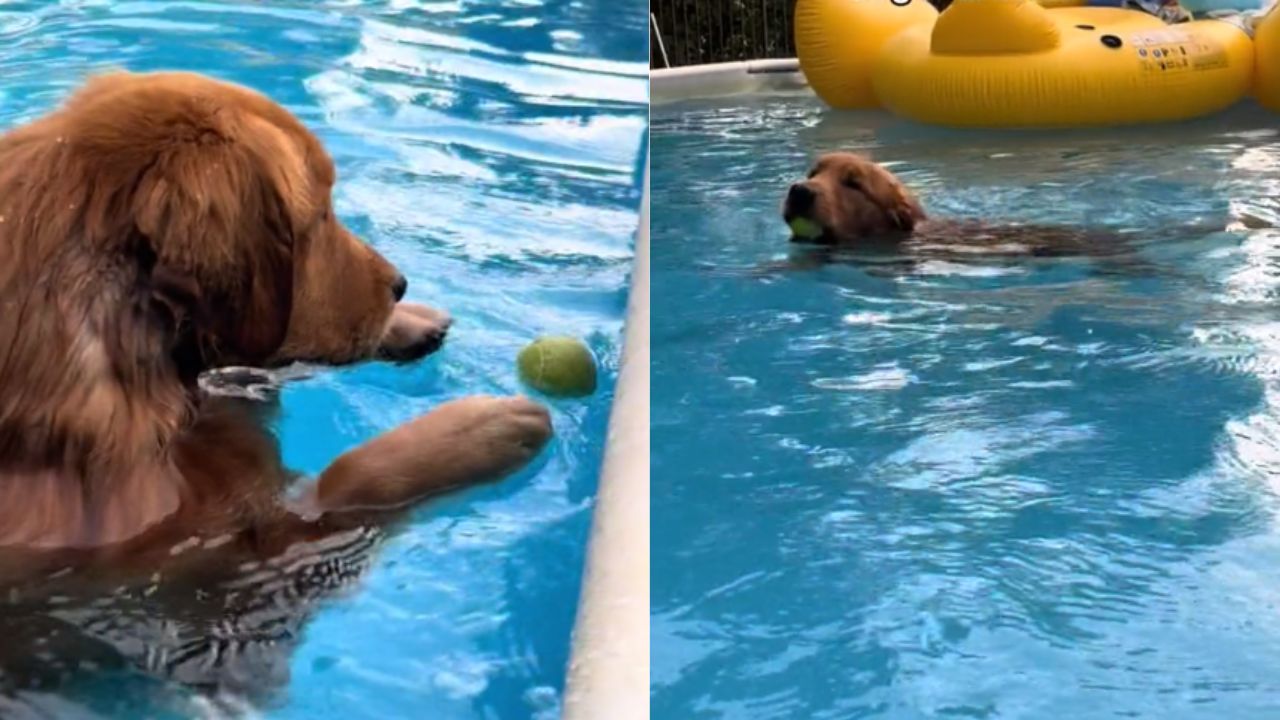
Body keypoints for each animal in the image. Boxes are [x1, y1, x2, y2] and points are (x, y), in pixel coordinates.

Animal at [0, 71, 550, 696]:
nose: (400, 285)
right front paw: (484, 427)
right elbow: (348, 476)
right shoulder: (235, 571)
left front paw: (407, 325)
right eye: (319, 217)